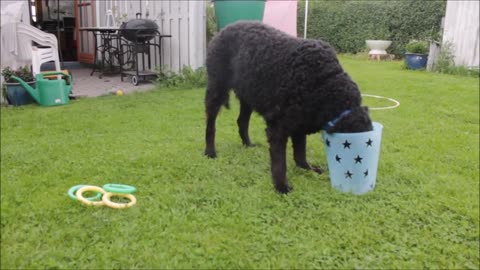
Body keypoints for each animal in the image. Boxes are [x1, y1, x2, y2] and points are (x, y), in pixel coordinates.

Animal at [202, 21, 372, 194]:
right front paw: (281, 186)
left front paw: (308, 169)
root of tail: (224, 29)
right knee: (210, 125)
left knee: (241, 122)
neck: (323, 84)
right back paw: (210, 152)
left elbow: (300, 154)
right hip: (216, 89)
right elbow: (280, 163)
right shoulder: (277, 129)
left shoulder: (300, 124)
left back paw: (248, 144)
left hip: (247, 95)